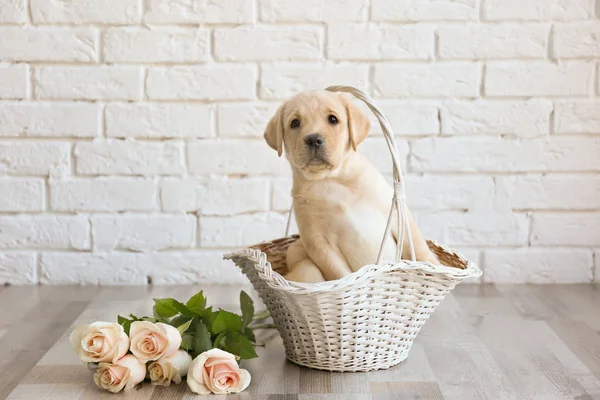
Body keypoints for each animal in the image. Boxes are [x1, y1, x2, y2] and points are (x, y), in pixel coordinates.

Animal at [262, 91, 436, 284]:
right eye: (294, 123)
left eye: (332, 119)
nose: (313, 139)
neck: (331, 179)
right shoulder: (318, 243)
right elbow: (341, 274)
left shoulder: (397, 213)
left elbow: (418, 246)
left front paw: (434, 266)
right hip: (305, 266)